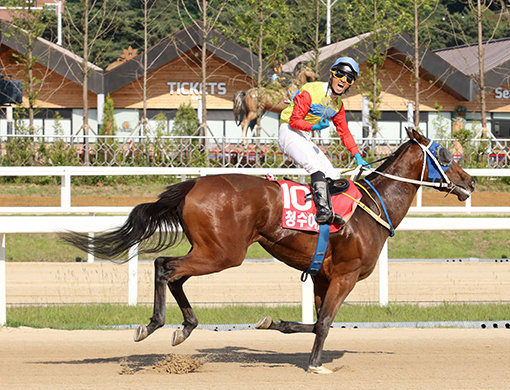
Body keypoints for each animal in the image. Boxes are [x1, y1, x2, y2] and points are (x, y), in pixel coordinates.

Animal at [62, 129, 474, 374]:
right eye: (442, 152)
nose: (469, 181)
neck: (370, 208)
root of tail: (194, 184)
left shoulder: (323, 275)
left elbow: (313, 322)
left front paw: (273, 323)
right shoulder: (346, 275)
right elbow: (324, 322)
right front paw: (315, 365)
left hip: (210, 248)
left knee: (174, 273)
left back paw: (186, 327)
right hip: (224, 253)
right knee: (165, 266)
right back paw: (153, 324)